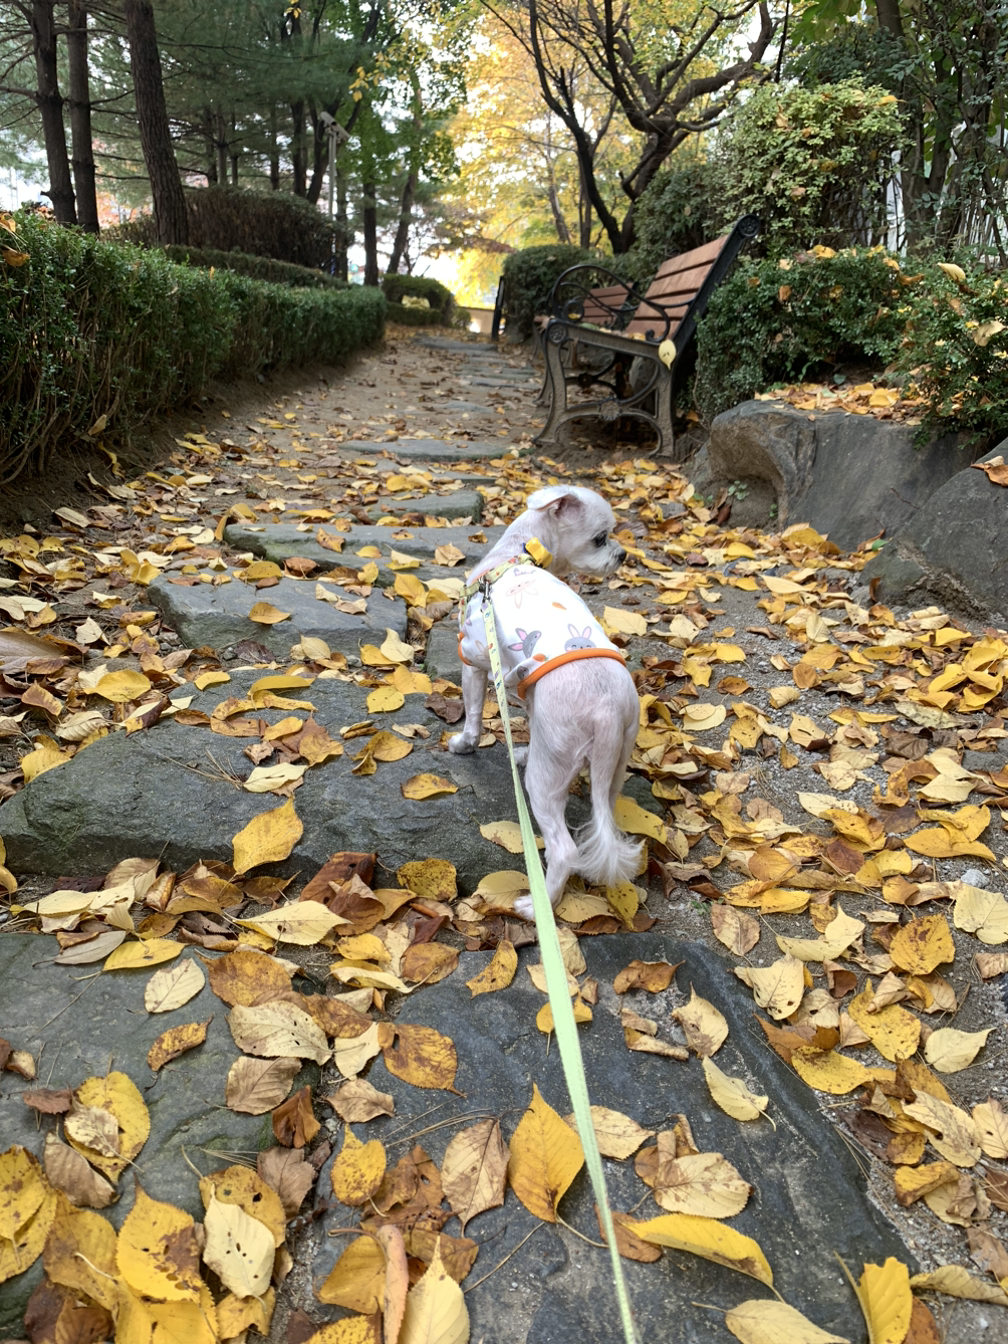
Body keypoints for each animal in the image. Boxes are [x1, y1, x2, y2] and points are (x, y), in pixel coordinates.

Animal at [449, 485, 642, 918]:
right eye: (601, 538)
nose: (622, 555)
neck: (516, 553)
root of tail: (606, 711)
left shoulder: (474, 658)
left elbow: (473, 711)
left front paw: (464, 744)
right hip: (616, 760)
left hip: (547, 776)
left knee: (564, 849)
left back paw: (536, 907)